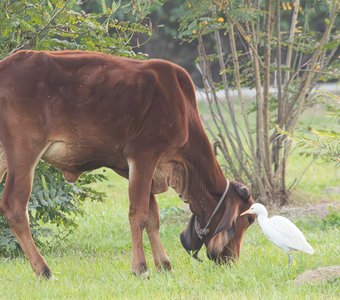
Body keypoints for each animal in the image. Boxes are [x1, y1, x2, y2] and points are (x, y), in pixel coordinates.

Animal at [0, 50, 254, 278]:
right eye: (248, 220)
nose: (232, 261)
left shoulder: (146, 169)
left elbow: (153, 218)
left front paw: (164, 264)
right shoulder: (144, 156)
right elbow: (138, 214)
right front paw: (140, 267)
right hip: (24, 151)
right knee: (15, 206)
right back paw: (44, 270)